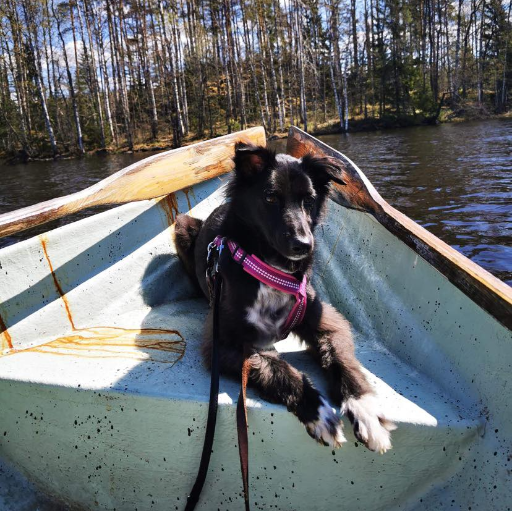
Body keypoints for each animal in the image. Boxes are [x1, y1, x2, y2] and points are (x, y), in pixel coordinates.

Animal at [174, 143, 394, 452]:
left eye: (309, 200)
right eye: (270, 197)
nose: (304, 245)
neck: (271, 269)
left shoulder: (327, 322)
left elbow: (342, 360)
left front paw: (365, 410)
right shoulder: (222, 344)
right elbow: (273, 366)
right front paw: (317, 410)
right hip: (181, 226)